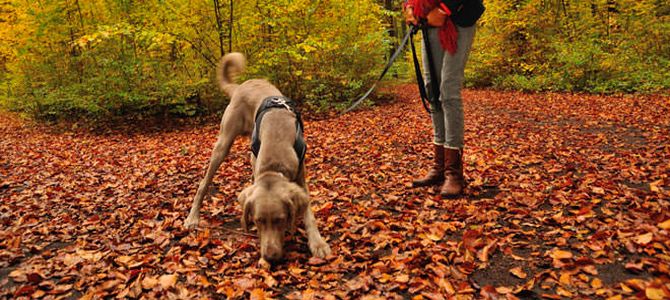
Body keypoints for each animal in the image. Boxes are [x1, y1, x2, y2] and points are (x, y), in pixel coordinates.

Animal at [184, 52, 330, 262]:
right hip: (223, 144)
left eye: (280, 220)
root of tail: (241, 86)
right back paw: (192, 217)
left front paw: (317, 243)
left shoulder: (301, 174)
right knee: (204, 183)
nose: (270, 257)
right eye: (259, 220)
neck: (274, 163)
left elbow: (308, 212)